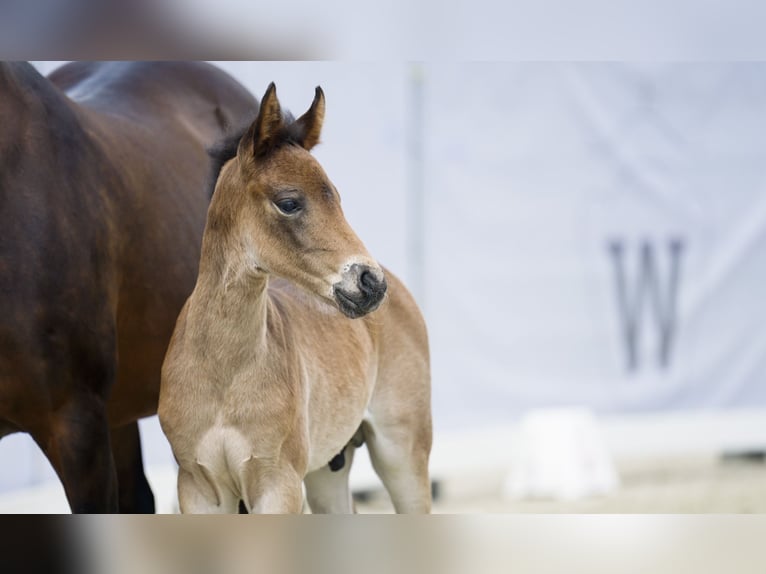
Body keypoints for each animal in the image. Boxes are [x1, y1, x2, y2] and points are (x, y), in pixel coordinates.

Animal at [158, 83, 432, 516]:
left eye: (336, 197)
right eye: (289, 202)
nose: (370, 283)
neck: (223, 373)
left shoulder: (278, 484)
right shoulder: (198, 487)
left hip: (402, 452)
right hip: (328, 470)